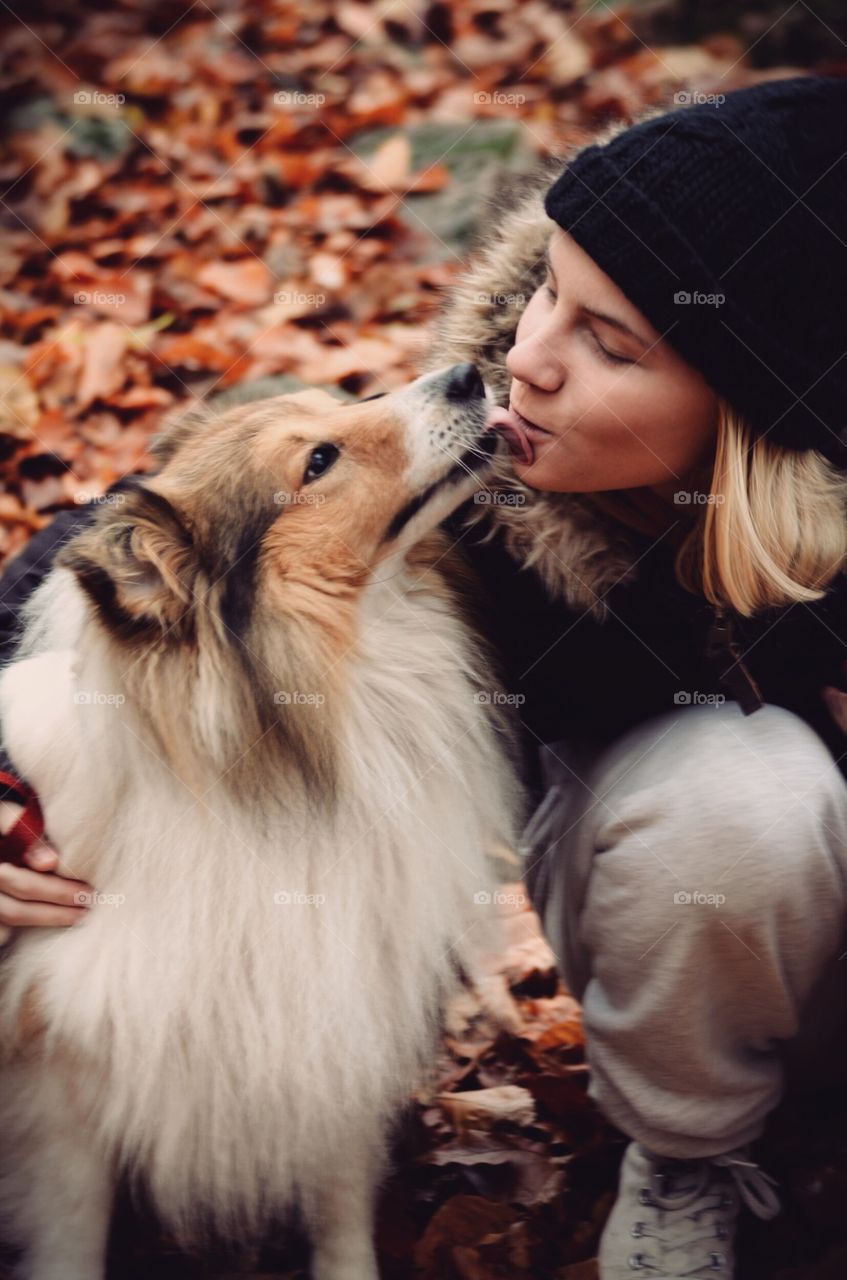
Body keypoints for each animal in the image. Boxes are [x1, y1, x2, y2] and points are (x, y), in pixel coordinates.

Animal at [0, 363, 524, 1280]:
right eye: (317, 461)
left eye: (341, 403)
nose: (465, 374)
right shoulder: (62, 1100)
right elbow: (70, 1246)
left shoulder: (333, 1025)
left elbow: (341, 1212)